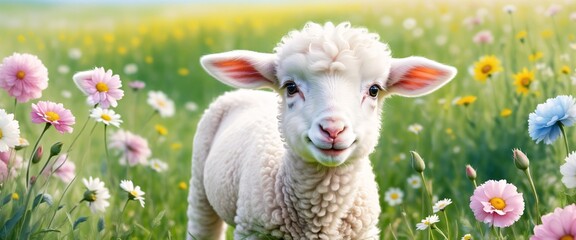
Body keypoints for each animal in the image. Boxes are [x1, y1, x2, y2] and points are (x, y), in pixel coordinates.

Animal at [187, 21, 456, 239]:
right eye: (291, 87)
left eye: (374, 90)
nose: (333, 129)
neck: (322, 215)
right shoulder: (252, 230)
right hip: (199, 187)